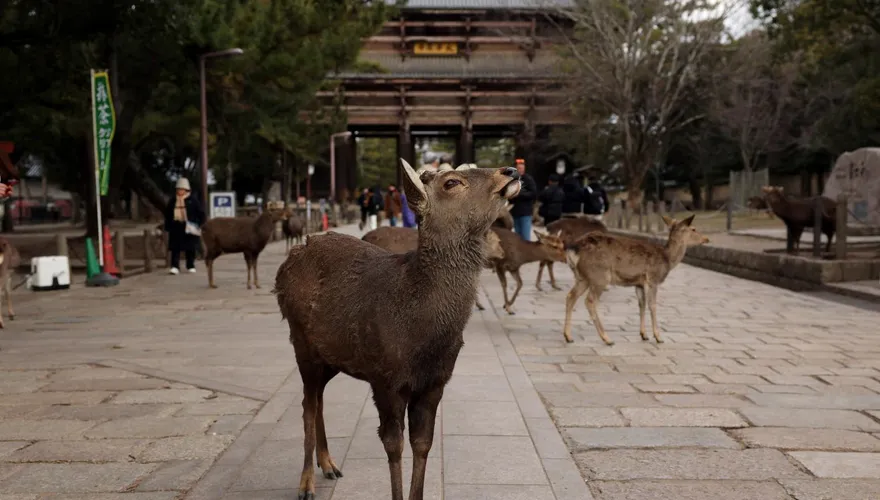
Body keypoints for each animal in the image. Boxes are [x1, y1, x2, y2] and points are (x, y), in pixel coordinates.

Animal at [273, 159, 521, 500]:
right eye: (451, 182)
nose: (510, 171)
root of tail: (284, 268)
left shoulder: (436, 382)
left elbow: (423, 444)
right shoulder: (385, 378)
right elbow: (394, 445)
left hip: (331, 357)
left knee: (319, 399)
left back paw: (329, 464)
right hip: (301, 344)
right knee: (307, 405)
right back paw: (307, 483)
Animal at [562, 214, 709, 345]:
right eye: (693, 229)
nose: (706, 238)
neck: (667, 259)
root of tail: (572, 250)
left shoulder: (639, 283)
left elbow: (641, 304)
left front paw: (644, 335)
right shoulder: (653, 278)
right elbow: (652, 305)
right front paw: (658, 337)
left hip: (582, 277)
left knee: (570, 296)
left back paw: (568, 336)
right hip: (600, 275)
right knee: (590, 301)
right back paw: (607, 339)